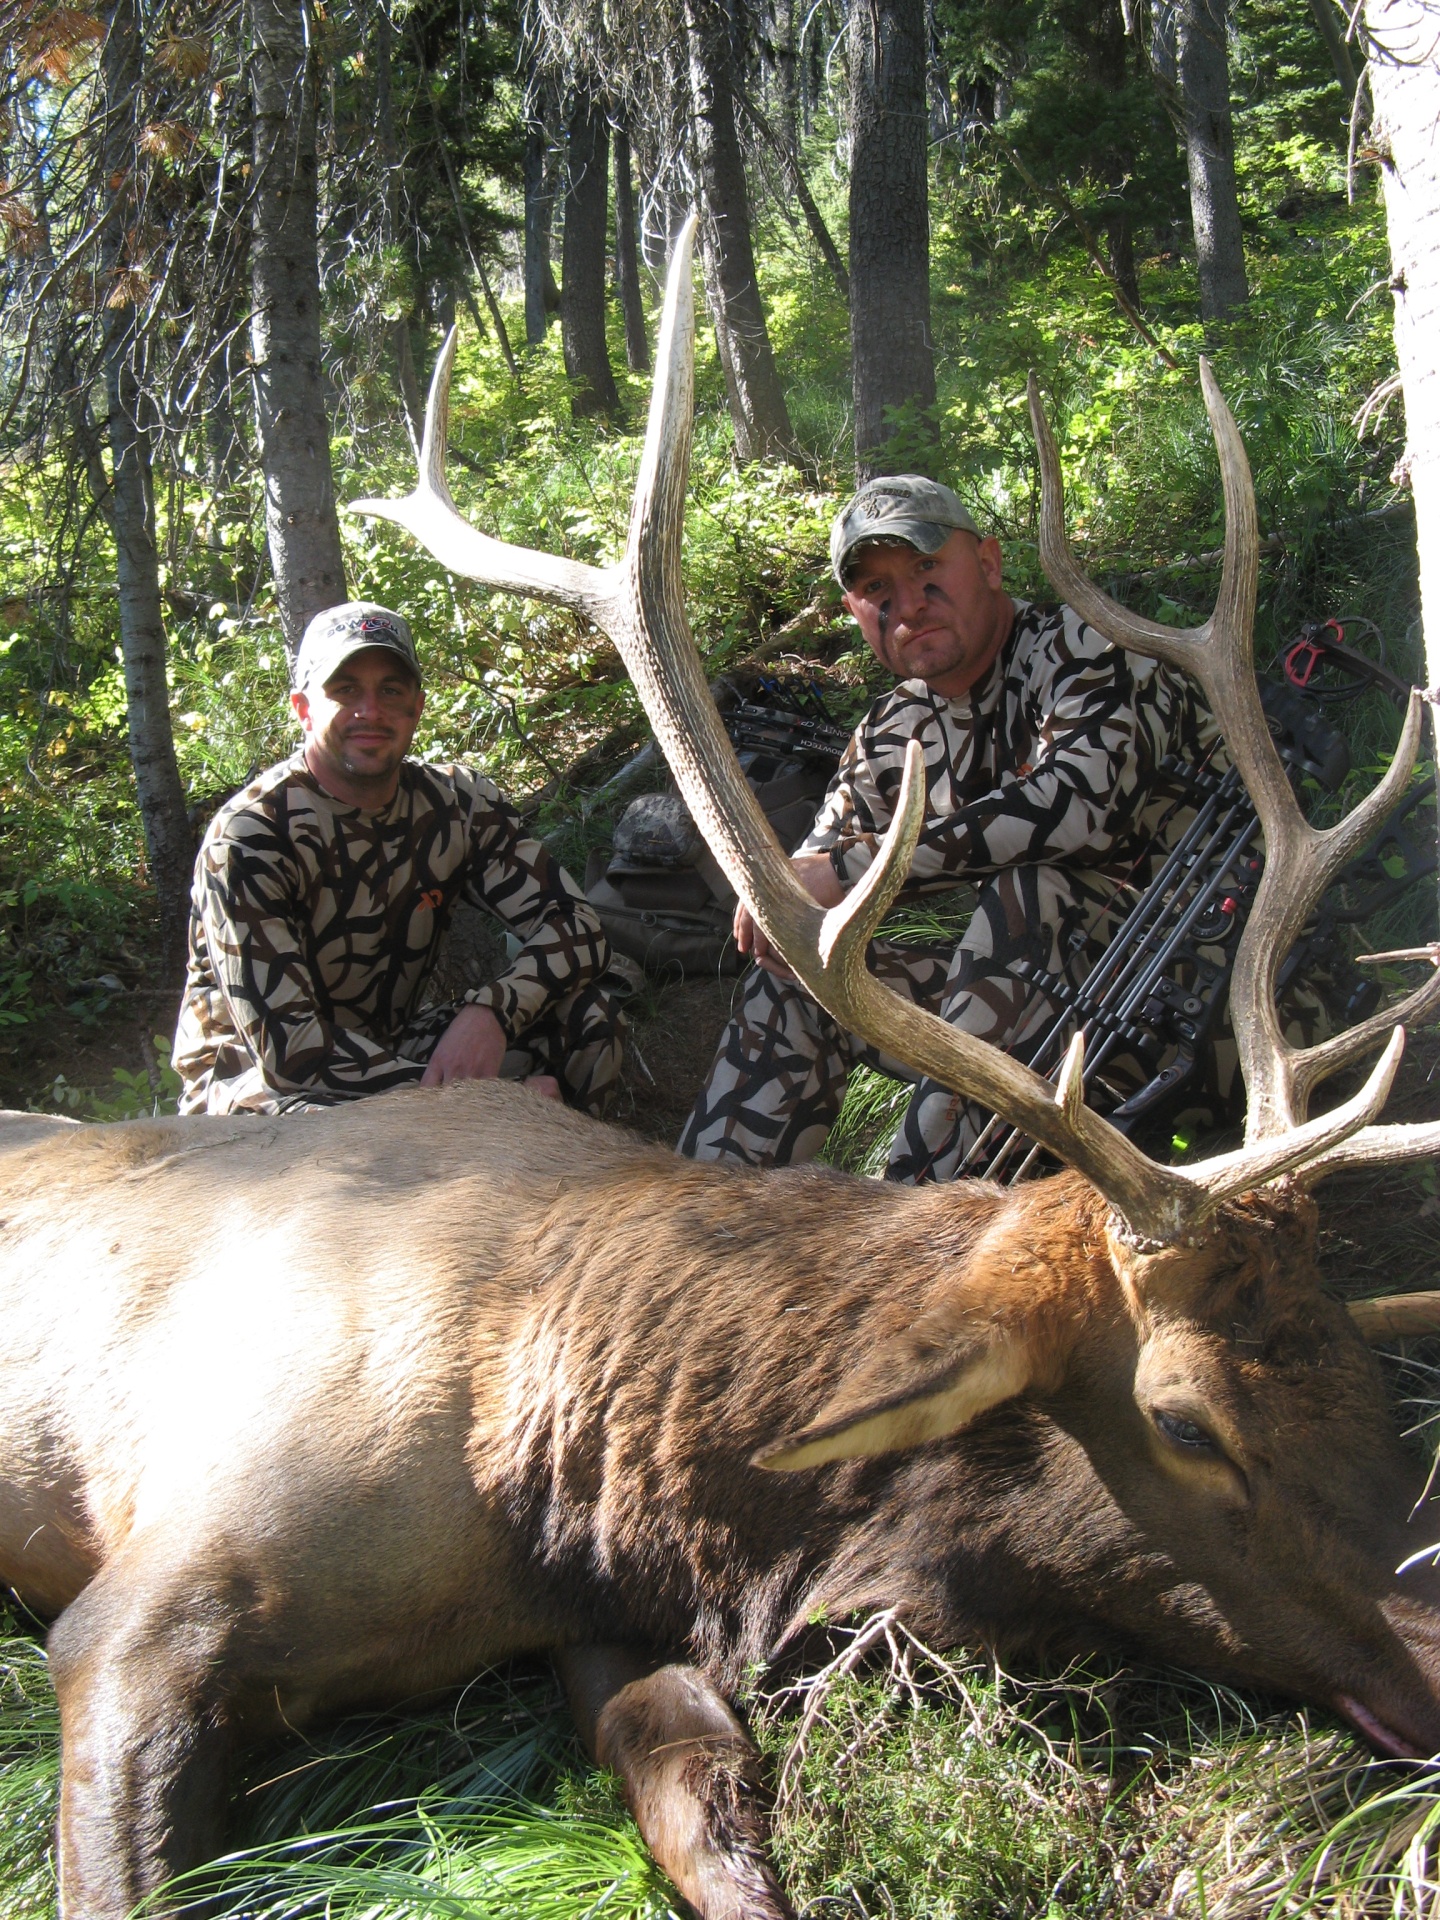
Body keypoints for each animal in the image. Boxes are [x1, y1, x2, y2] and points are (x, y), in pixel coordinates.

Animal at [4, 221, 1440, 1920]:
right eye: (1187, 1421)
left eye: (1355, 1357)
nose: (1434, 1655)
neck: (547, 1436)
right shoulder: (141, 1607)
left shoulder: (595, 1619)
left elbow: (704, 1810)